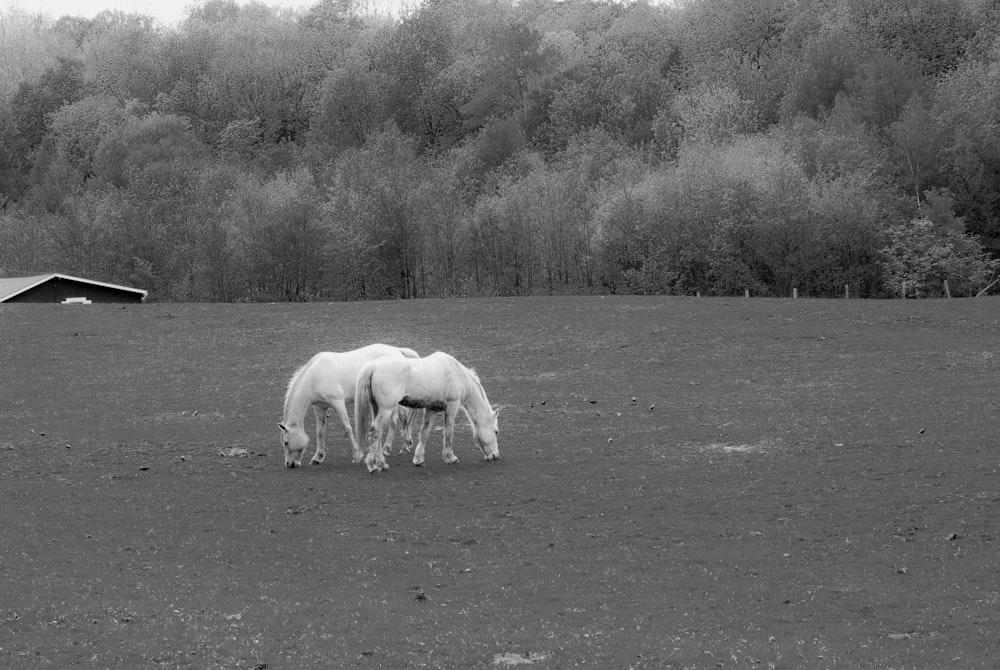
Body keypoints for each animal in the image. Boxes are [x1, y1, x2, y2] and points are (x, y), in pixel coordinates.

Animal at [280, 344, 420, 470]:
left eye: (286, 442)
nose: (289, 464)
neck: (315, 377)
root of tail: (397, 350)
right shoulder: (320, 407)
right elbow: (320, 432)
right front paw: (317, 457)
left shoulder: (338, 403)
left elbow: (347, 428)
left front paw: (357, 455)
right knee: (396, 419)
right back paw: (391, 447)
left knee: (401, 418)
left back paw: (402, 446)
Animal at [356, 350, 504, 476]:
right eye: (496, 431)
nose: (495, 455)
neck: (457, 373)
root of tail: (373, 366)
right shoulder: (452, 407)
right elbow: (448, 432)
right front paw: (450, 457)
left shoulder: (431, 410)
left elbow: (425, 433)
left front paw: (419, 459)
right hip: (386, 409)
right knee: (375, 430)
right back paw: (373, 466)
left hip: (377, 409)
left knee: (378, 434)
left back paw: (382, 464)